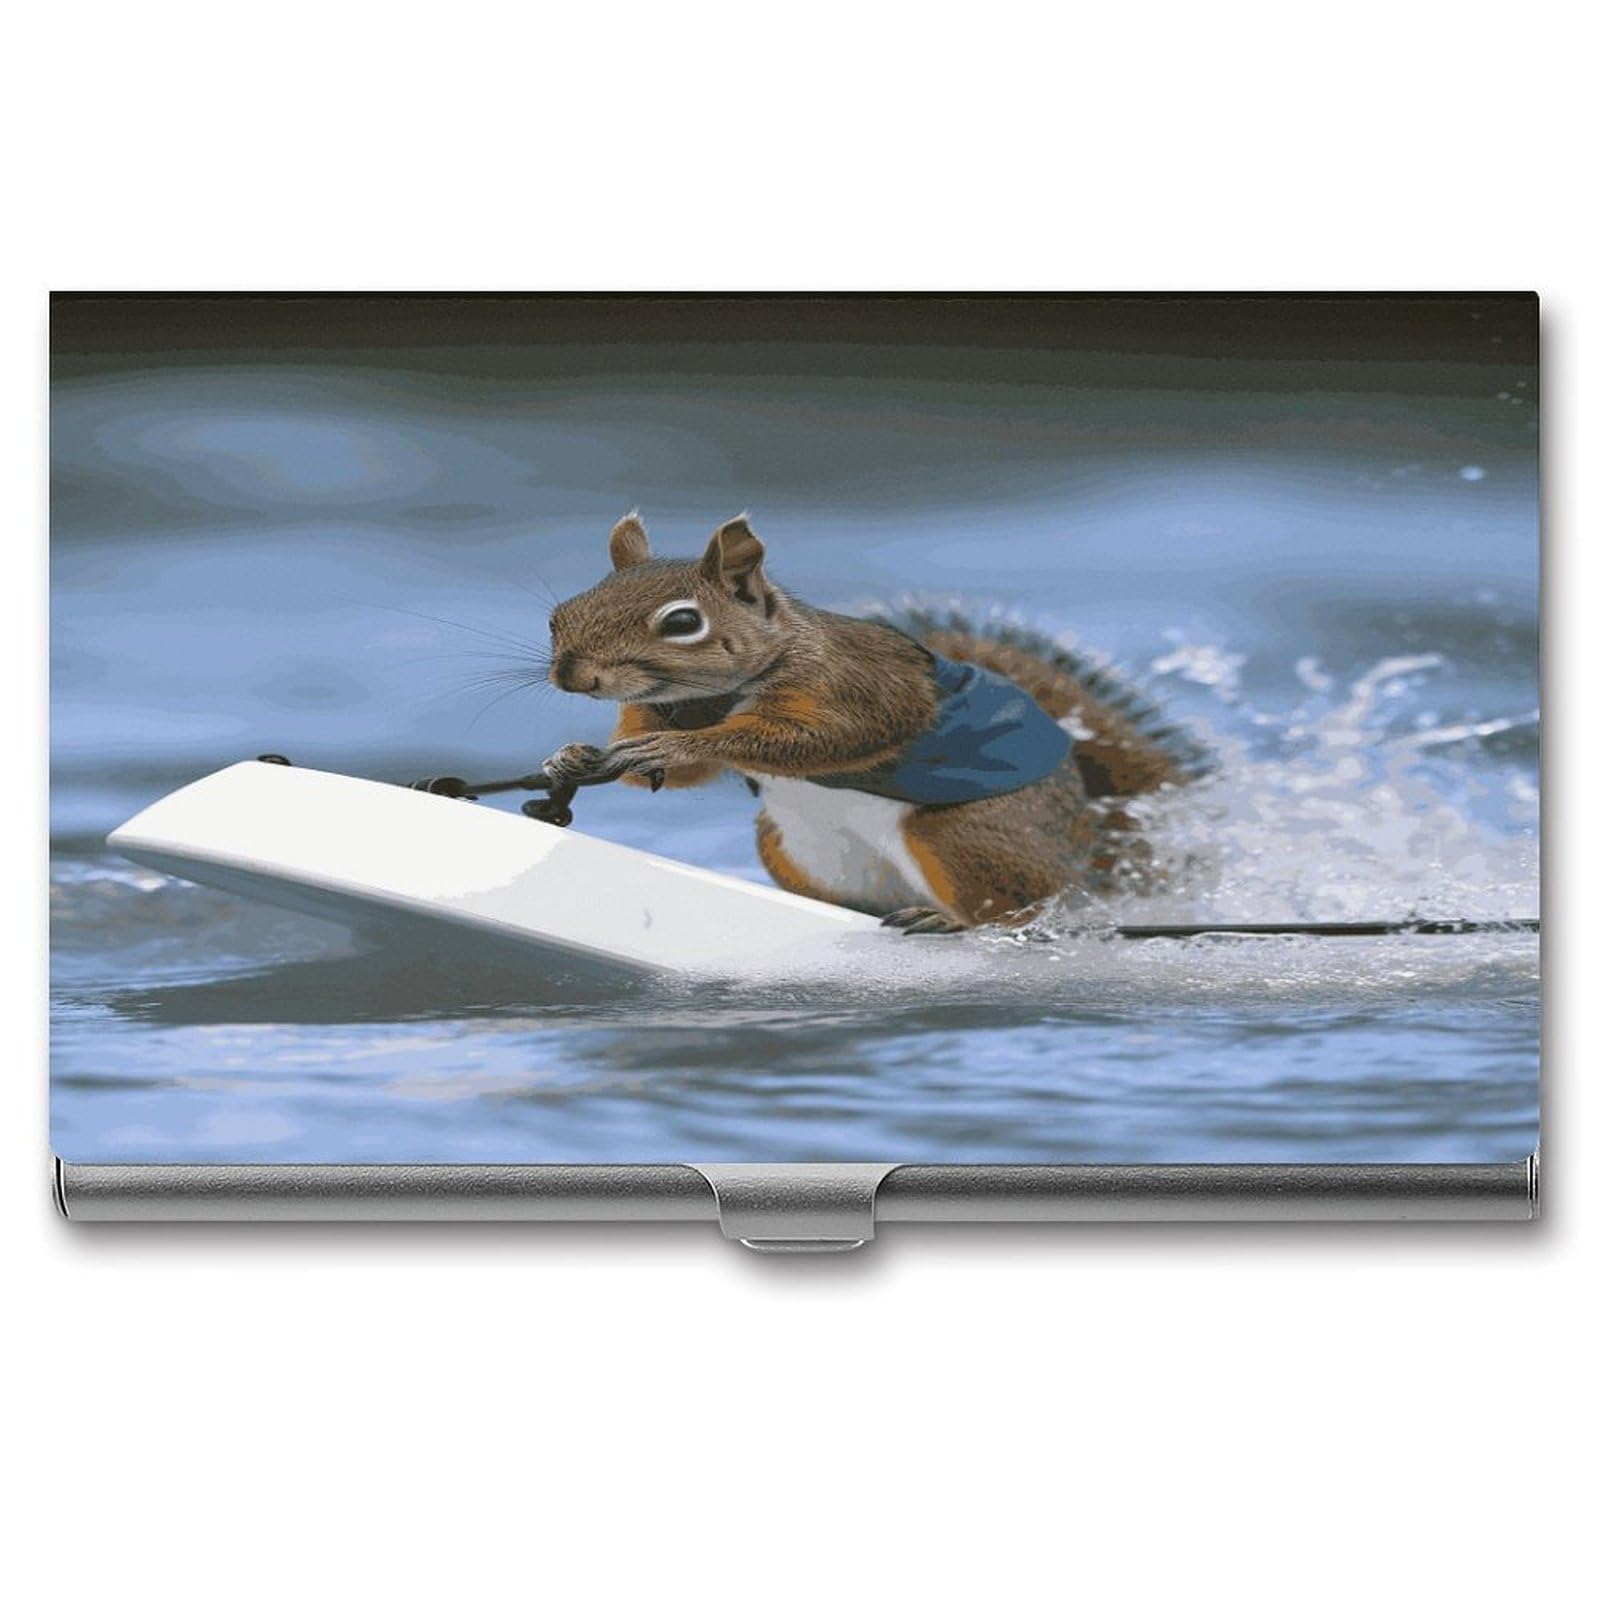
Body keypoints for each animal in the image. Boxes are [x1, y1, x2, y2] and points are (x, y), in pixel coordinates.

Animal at [541, 514, 1209, 934]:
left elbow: (817, 741)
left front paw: (671, 746)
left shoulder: (863, 689)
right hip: (791, 849)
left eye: (683, 622)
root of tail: (1086, 856)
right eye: (560, 614)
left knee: (1020, 909)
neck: (714, 696)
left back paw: (951, 919)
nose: (574, 676)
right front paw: (574, 755)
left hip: (967, 834)